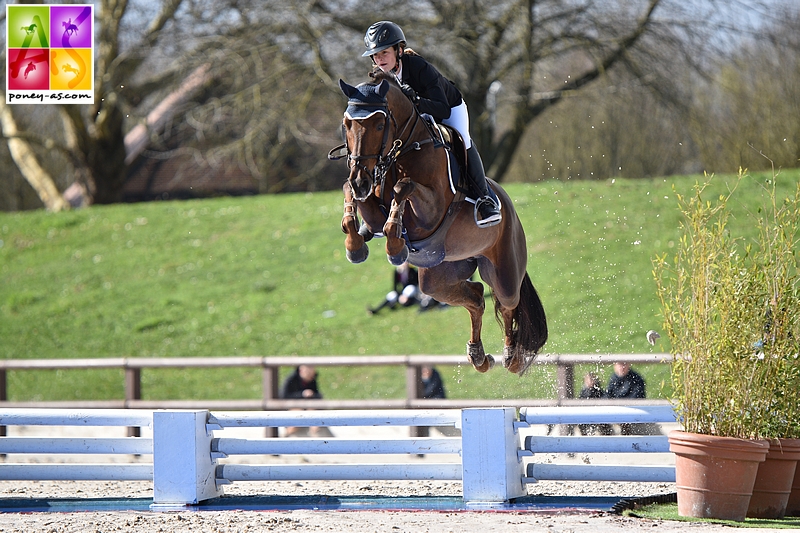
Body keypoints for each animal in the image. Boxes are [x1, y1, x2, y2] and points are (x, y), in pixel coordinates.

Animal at [328, 69, 548, 374]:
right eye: (347, 124)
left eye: (379, 124)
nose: (362, 178)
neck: (403, 149)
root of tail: (510, 208)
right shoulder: (372, 211)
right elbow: (350, 191)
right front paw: (355, 246)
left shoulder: (430, 211)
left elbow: (404, 187)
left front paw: (395, 248)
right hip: (439, 276)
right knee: (476, 296)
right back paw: (479, 357)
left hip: (503, 268)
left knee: (506, 302)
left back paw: (511, 357)